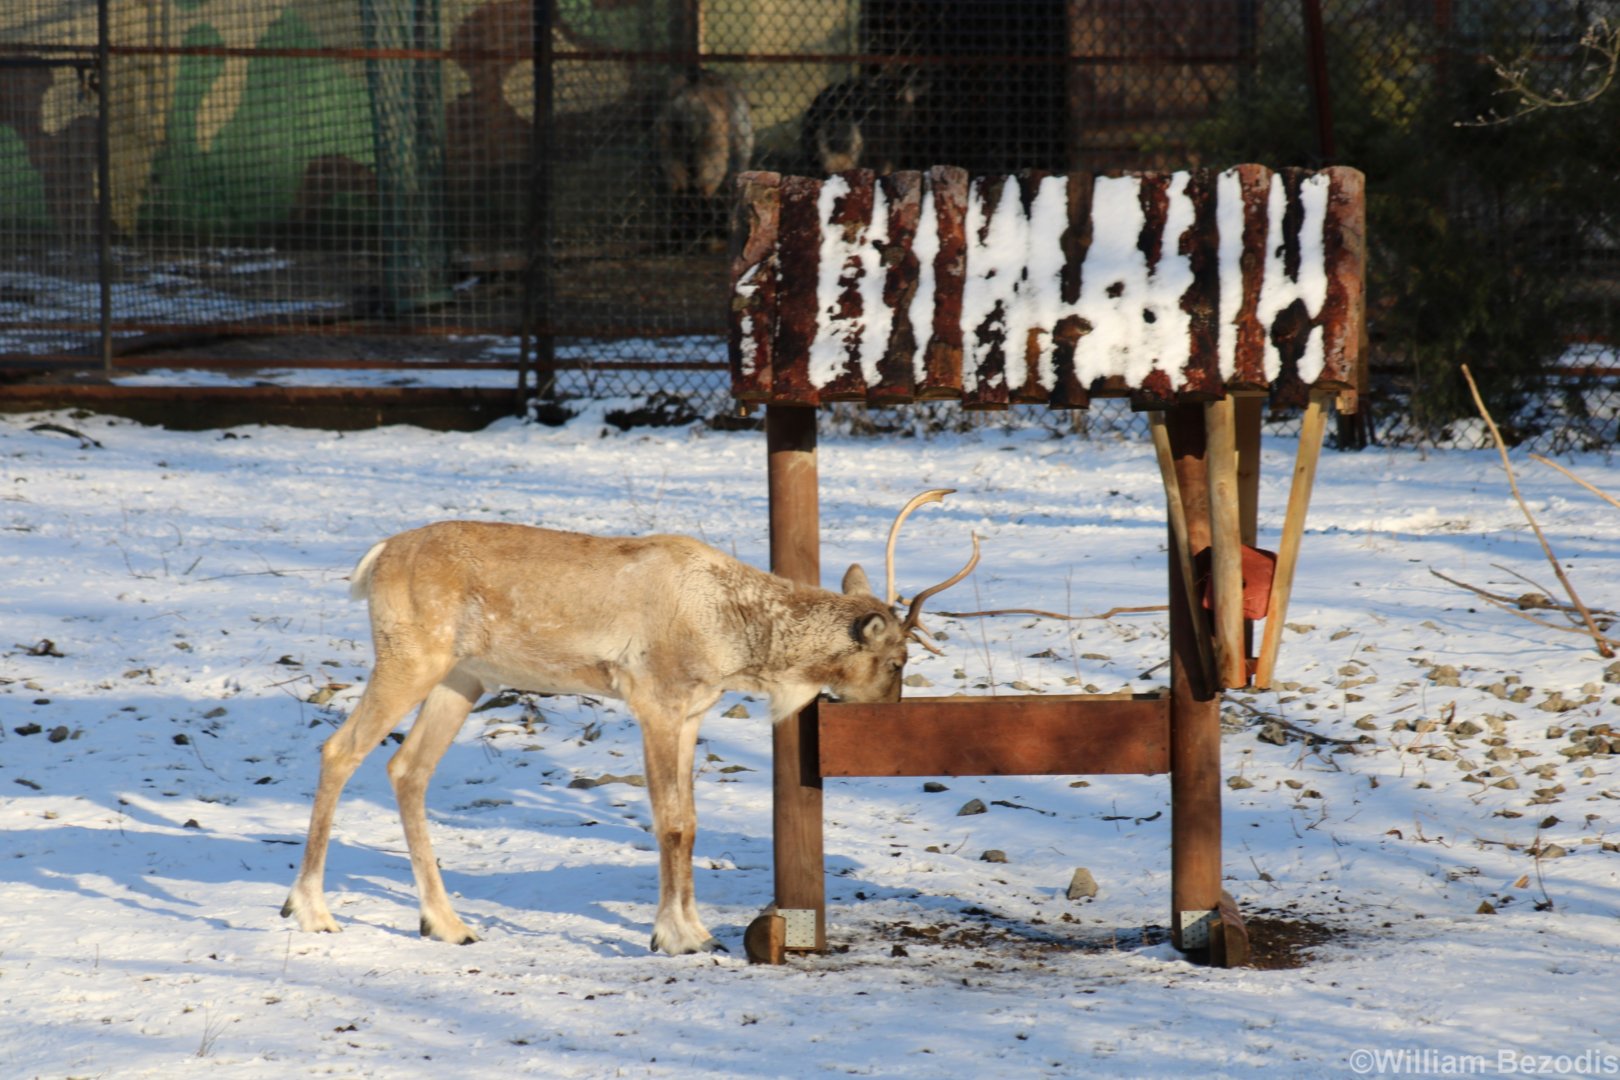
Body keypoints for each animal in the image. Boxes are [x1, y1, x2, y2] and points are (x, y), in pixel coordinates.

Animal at [280, 491, 978, 955]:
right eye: (898, 660)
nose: (892, 714)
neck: (735, 634)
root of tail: (374, 559)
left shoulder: (693, 711)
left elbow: (691, 822)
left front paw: (696, 929)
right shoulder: (656, 700)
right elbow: (668, 823)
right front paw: (674, 936)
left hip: (464, 677)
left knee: (408, 768)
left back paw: (445, 923)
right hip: (412, 656)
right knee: (339, 751)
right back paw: (309, 909)